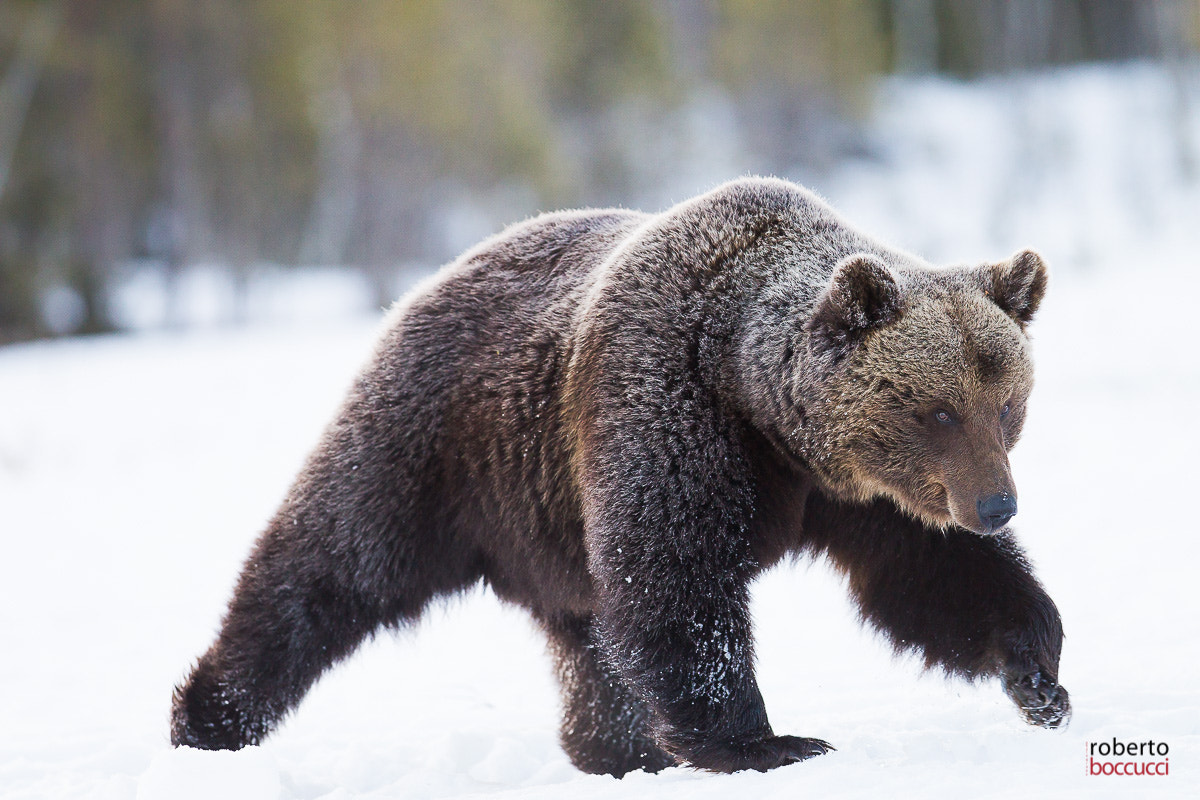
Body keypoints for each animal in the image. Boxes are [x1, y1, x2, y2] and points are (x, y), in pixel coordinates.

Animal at [171, 177, 1069, 776]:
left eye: (1007, 405)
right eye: (938, 411)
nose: (997, 504)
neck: (763, 409)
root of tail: (431, 278)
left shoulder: (862, 495)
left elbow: (935, 574)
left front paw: (1038, 673)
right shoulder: (666, 408)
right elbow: (676, 581)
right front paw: (769, 740)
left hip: (547, 523)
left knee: (586, 634)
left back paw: (614, 749)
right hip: (434, 446)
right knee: (331, 565)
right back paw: (211, 716)